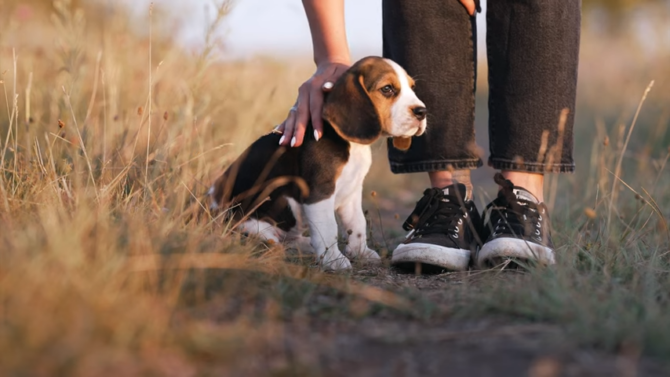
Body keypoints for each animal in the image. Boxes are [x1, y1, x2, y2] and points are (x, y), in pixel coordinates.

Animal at [210, 56, 428, 270]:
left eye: (412, 87)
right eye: (387, 89)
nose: (422, 111)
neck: (350, 143)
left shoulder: (352, 192)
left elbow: (357, 223)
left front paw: (360, 253)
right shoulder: (319, 192)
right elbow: (328, 227)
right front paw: (334, 259)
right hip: (252, 226)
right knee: (269, 242)